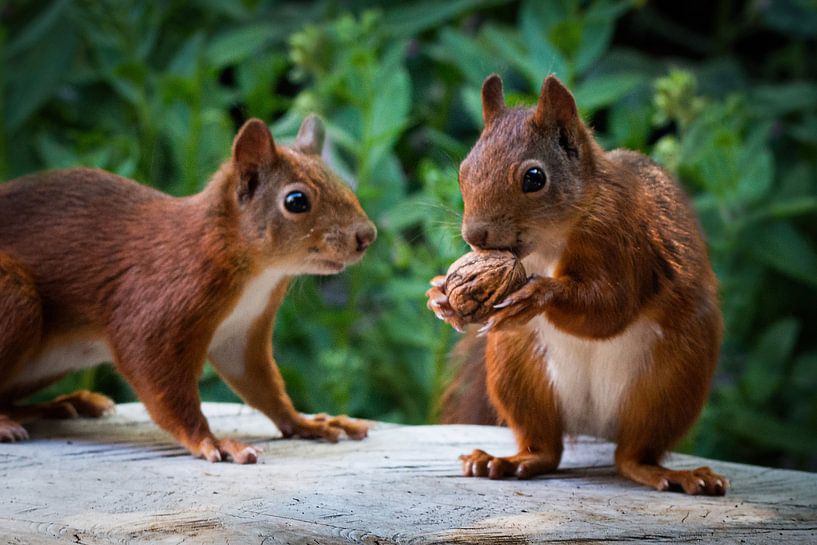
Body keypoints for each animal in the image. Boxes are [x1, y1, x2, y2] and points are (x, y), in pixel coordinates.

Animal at [0, 115, 376, 464]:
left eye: (341, 181)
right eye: (296, 200)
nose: (367, 235)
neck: (259, 275)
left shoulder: (240, 333)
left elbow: (262, 385)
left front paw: (306, 423)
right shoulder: (155, 306)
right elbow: (160, 380)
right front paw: (213, 441)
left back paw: (63, 404)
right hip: (16, 297)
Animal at [428, 74, 728, 496]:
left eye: (534, 178)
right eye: (463, 170)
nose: (474, 236)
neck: (550, 241)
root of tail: (593, 425)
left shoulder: (623, 238)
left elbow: (611, 308)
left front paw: (539, 294)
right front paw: (440, 293)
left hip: (671, 384)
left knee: (632, 455)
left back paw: (665, 473)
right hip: (517, 371)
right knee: (546, 448)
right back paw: (507, 461)